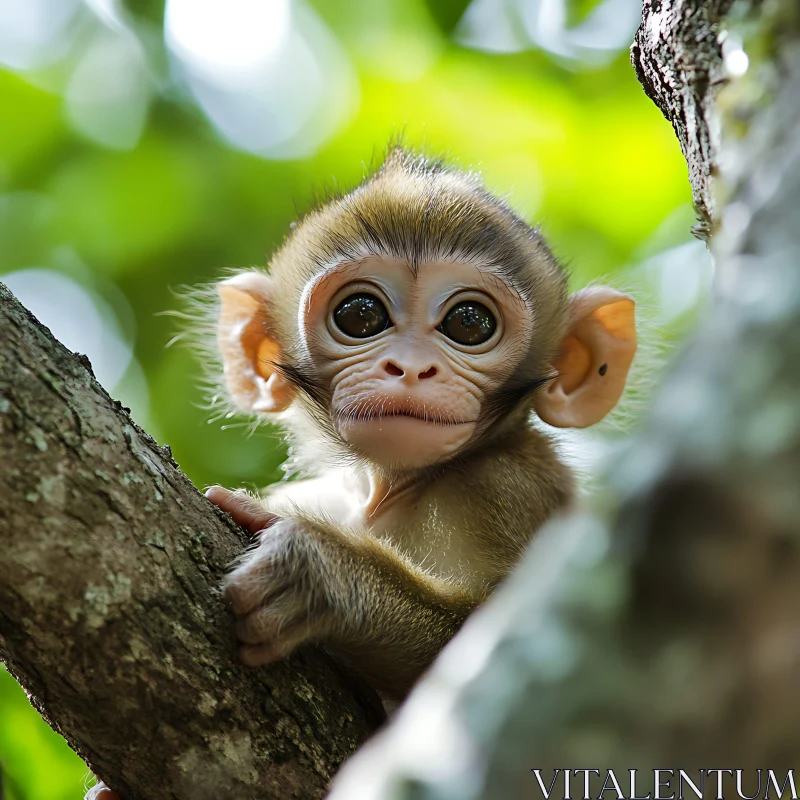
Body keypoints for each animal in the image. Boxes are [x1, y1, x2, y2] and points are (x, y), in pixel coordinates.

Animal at [90, 145, 636, 800]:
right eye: (361, 314)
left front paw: (322, 577)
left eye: (469, 323)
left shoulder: (512, 489)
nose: (411, 368)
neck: (391, 487)